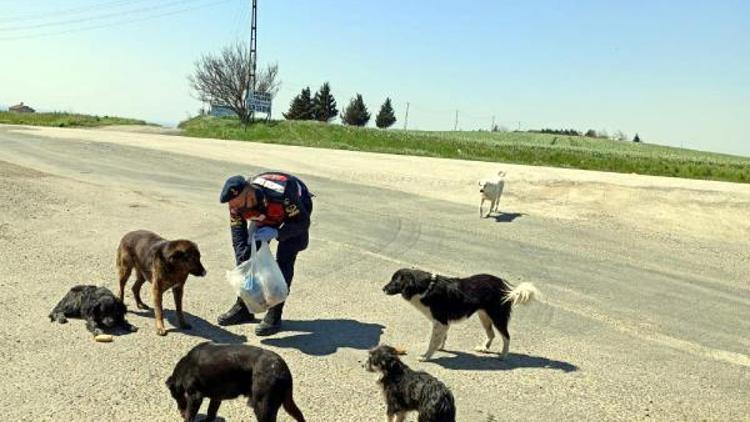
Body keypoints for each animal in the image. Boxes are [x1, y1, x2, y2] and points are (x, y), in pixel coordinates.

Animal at [382, 268, 540, 362]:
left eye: (395, 281)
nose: (383, 289)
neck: (425, 287)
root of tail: (506, 288)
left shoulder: (440, 321)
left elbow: (432, 341)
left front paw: (426, 356)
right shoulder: (442, 323)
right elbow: (441, 338)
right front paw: (440, 348)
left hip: (497, 317)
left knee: (506, 336)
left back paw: (503, 355)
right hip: (484, 316)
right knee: (492, 334)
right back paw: (484, 348)